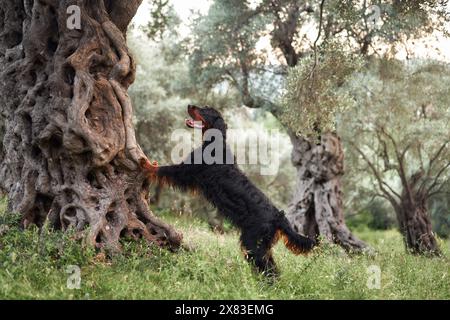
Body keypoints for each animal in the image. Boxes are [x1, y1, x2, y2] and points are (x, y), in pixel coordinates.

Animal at [142, 105, 316, 278]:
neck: (215, 143)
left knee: (267, 268)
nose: (190, 105)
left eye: (205, 109)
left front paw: (145, 163)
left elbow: (163, 169)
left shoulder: (186, 170)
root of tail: (278, 217)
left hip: (253, 242)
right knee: (271, 268)